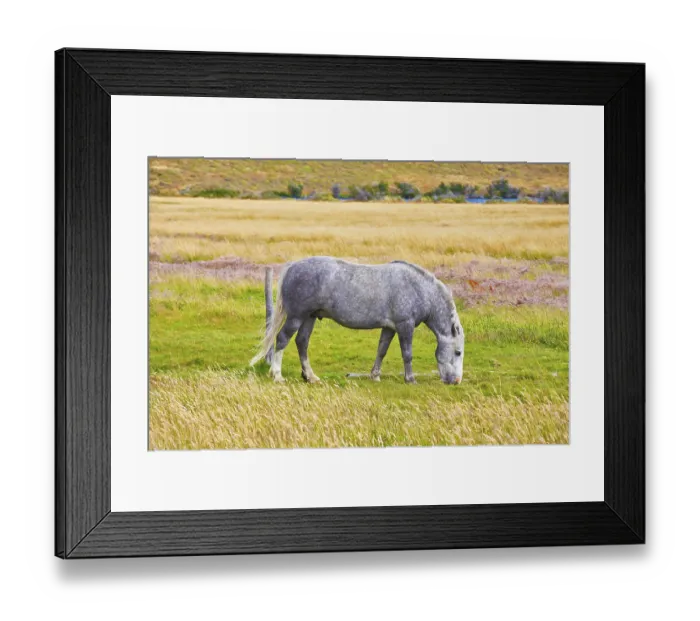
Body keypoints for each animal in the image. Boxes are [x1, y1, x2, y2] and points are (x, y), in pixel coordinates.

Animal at [250, 256, 464, 385]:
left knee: (301, 342)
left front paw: (375, 375)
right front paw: (410, 379)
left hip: (309, 318)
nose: (456, 381)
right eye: (458, 352)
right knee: (282, 340)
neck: (419, 289)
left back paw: (310, 376)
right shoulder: (405, 326)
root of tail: (293, 266)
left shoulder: (390, 328)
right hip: (296, 317)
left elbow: (381, 350)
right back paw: (277, 375)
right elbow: (407, 354)